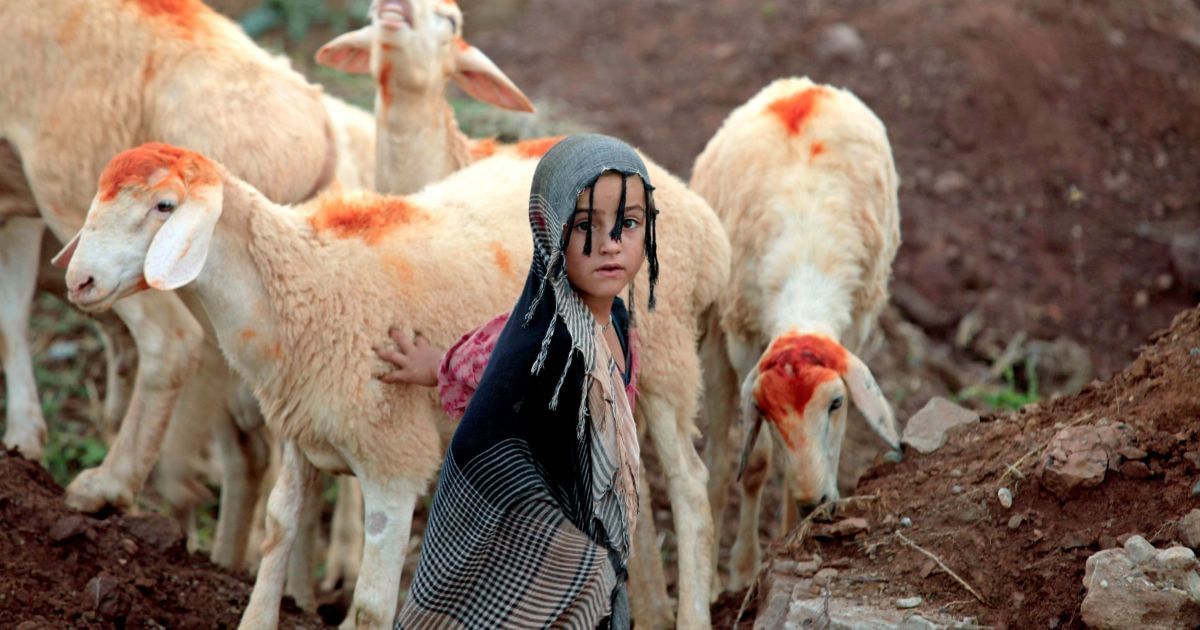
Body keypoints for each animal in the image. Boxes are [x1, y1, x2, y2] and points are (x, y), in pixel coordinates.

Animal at [686, 76, 902, 592]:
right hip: (715, 334)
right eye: (765, 409)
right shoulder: (744, 341)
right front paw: (743, 570)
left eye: (838, 403)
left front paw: (790, 534)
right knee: (720, 466)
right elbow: (755, 465)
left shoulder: (855, 328)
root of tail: (803, 86)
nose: (813, 502)